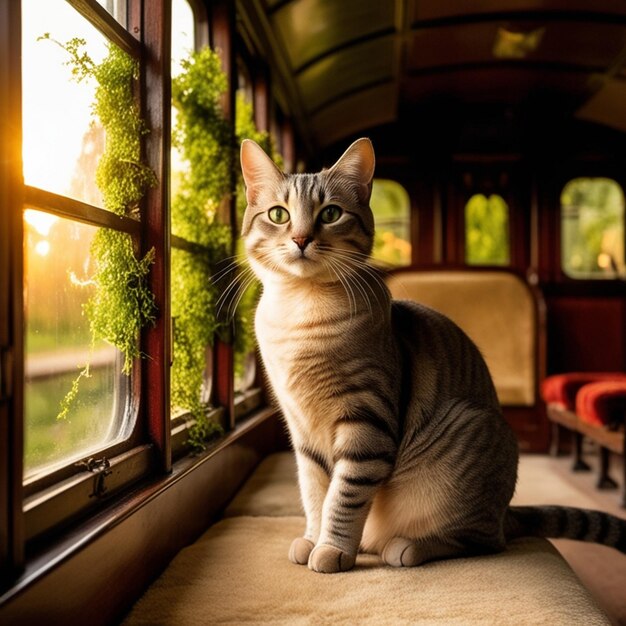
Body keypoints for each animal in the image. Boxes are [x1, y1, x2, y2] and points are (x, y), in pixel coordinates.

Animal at [239, 135, 624, 572]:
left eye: (331, 213)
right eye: (279, 214)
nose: (301, 239)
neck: (300, 315)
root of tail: (505, 511)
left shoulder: (365, 421)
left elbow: (343, 497)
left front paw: (332, 549)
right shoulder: (302, 430)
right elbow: (315, 494)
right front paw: (312, 539)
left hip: (463, 446)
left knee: (484, 540)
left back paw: (409, 546)